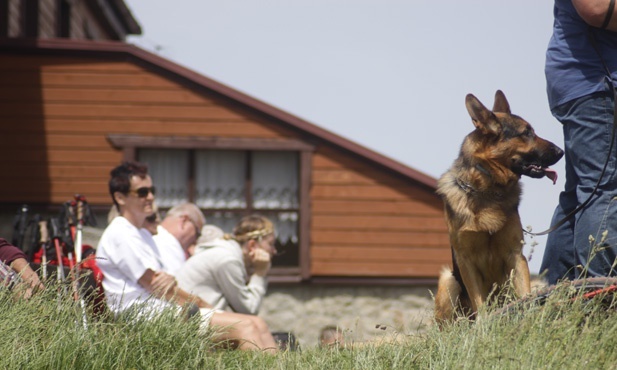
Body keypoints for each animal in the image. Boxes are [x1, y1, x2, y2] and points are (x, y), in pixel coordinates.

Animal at [434, 91, 564, 326]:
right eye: (526, 133)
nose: (562, 151)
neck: (486, 191)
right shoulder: (466, 261)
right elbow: (479, 302)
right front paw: (484, 326)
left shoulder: (515, 256)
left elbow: (524, 297)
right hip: (448, 280)